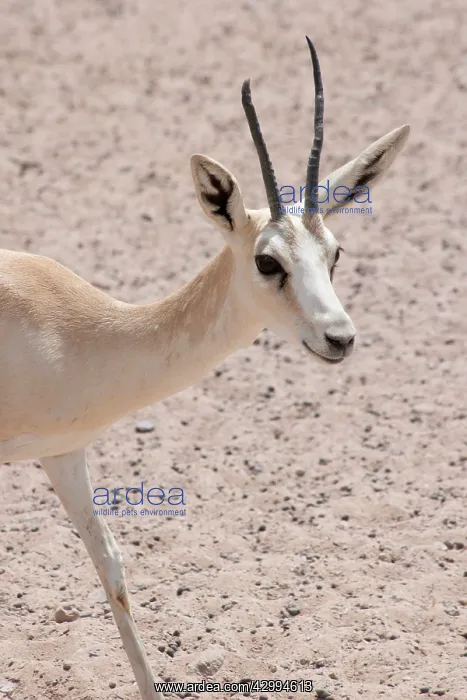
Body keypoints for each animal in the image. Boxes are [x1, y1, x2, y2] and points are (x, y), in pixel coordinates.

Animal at [0, 37, 409, 700]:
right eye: (268, 262)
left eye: (335, 253)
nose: (340, 338)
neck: (65, 326)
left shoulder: (63, 452)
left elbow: (111, 565)